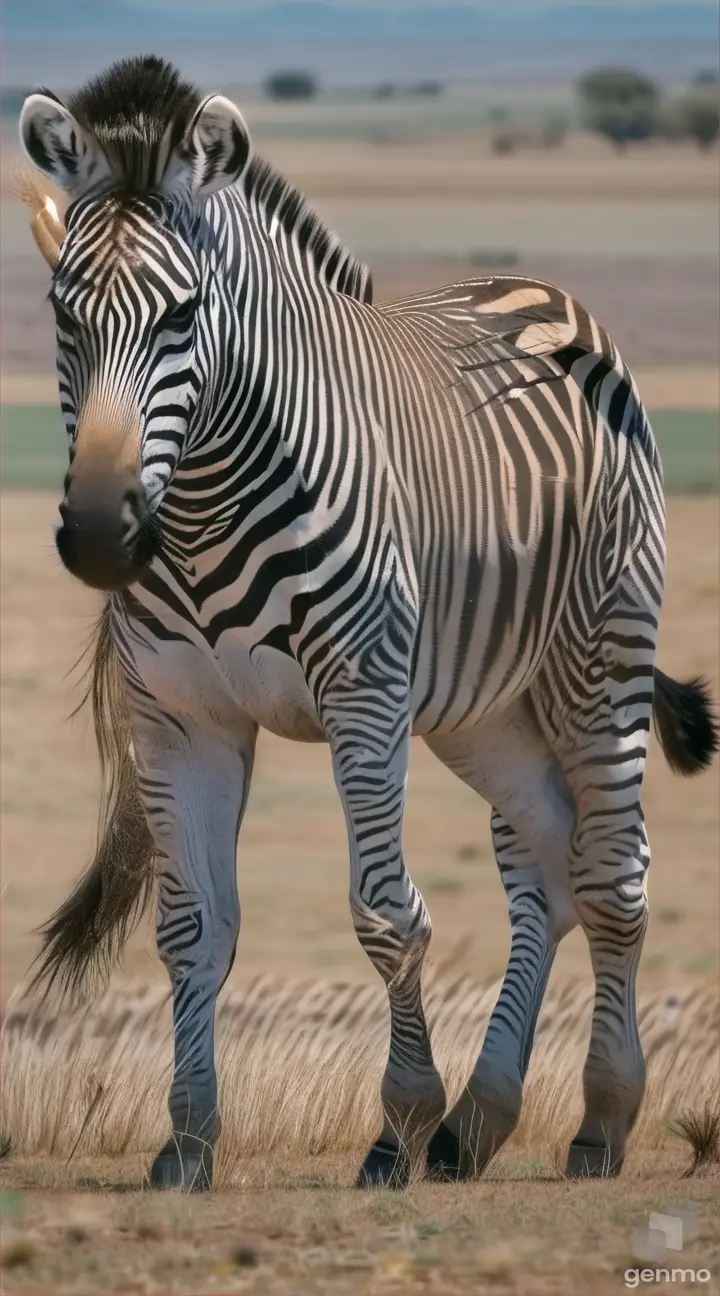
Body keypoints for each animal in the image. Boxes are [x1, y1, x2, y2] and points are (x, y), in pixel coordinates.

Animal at [16, 58, 714, 1192]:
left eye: (181, 317)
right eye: (62, 314)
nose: (99, 537)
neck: (202, 507)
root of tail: (542, 294)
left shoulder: (362, 694)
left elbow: (387, 917)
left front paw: (397, 1128)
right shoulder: (176, 715)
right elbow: (191, 928)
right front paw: (188, 1140)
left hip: (599, 653)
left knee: (613, 873)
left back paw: (599, 1123)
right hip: (484, 707)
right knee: (552, 860)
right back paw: (479, 1122)